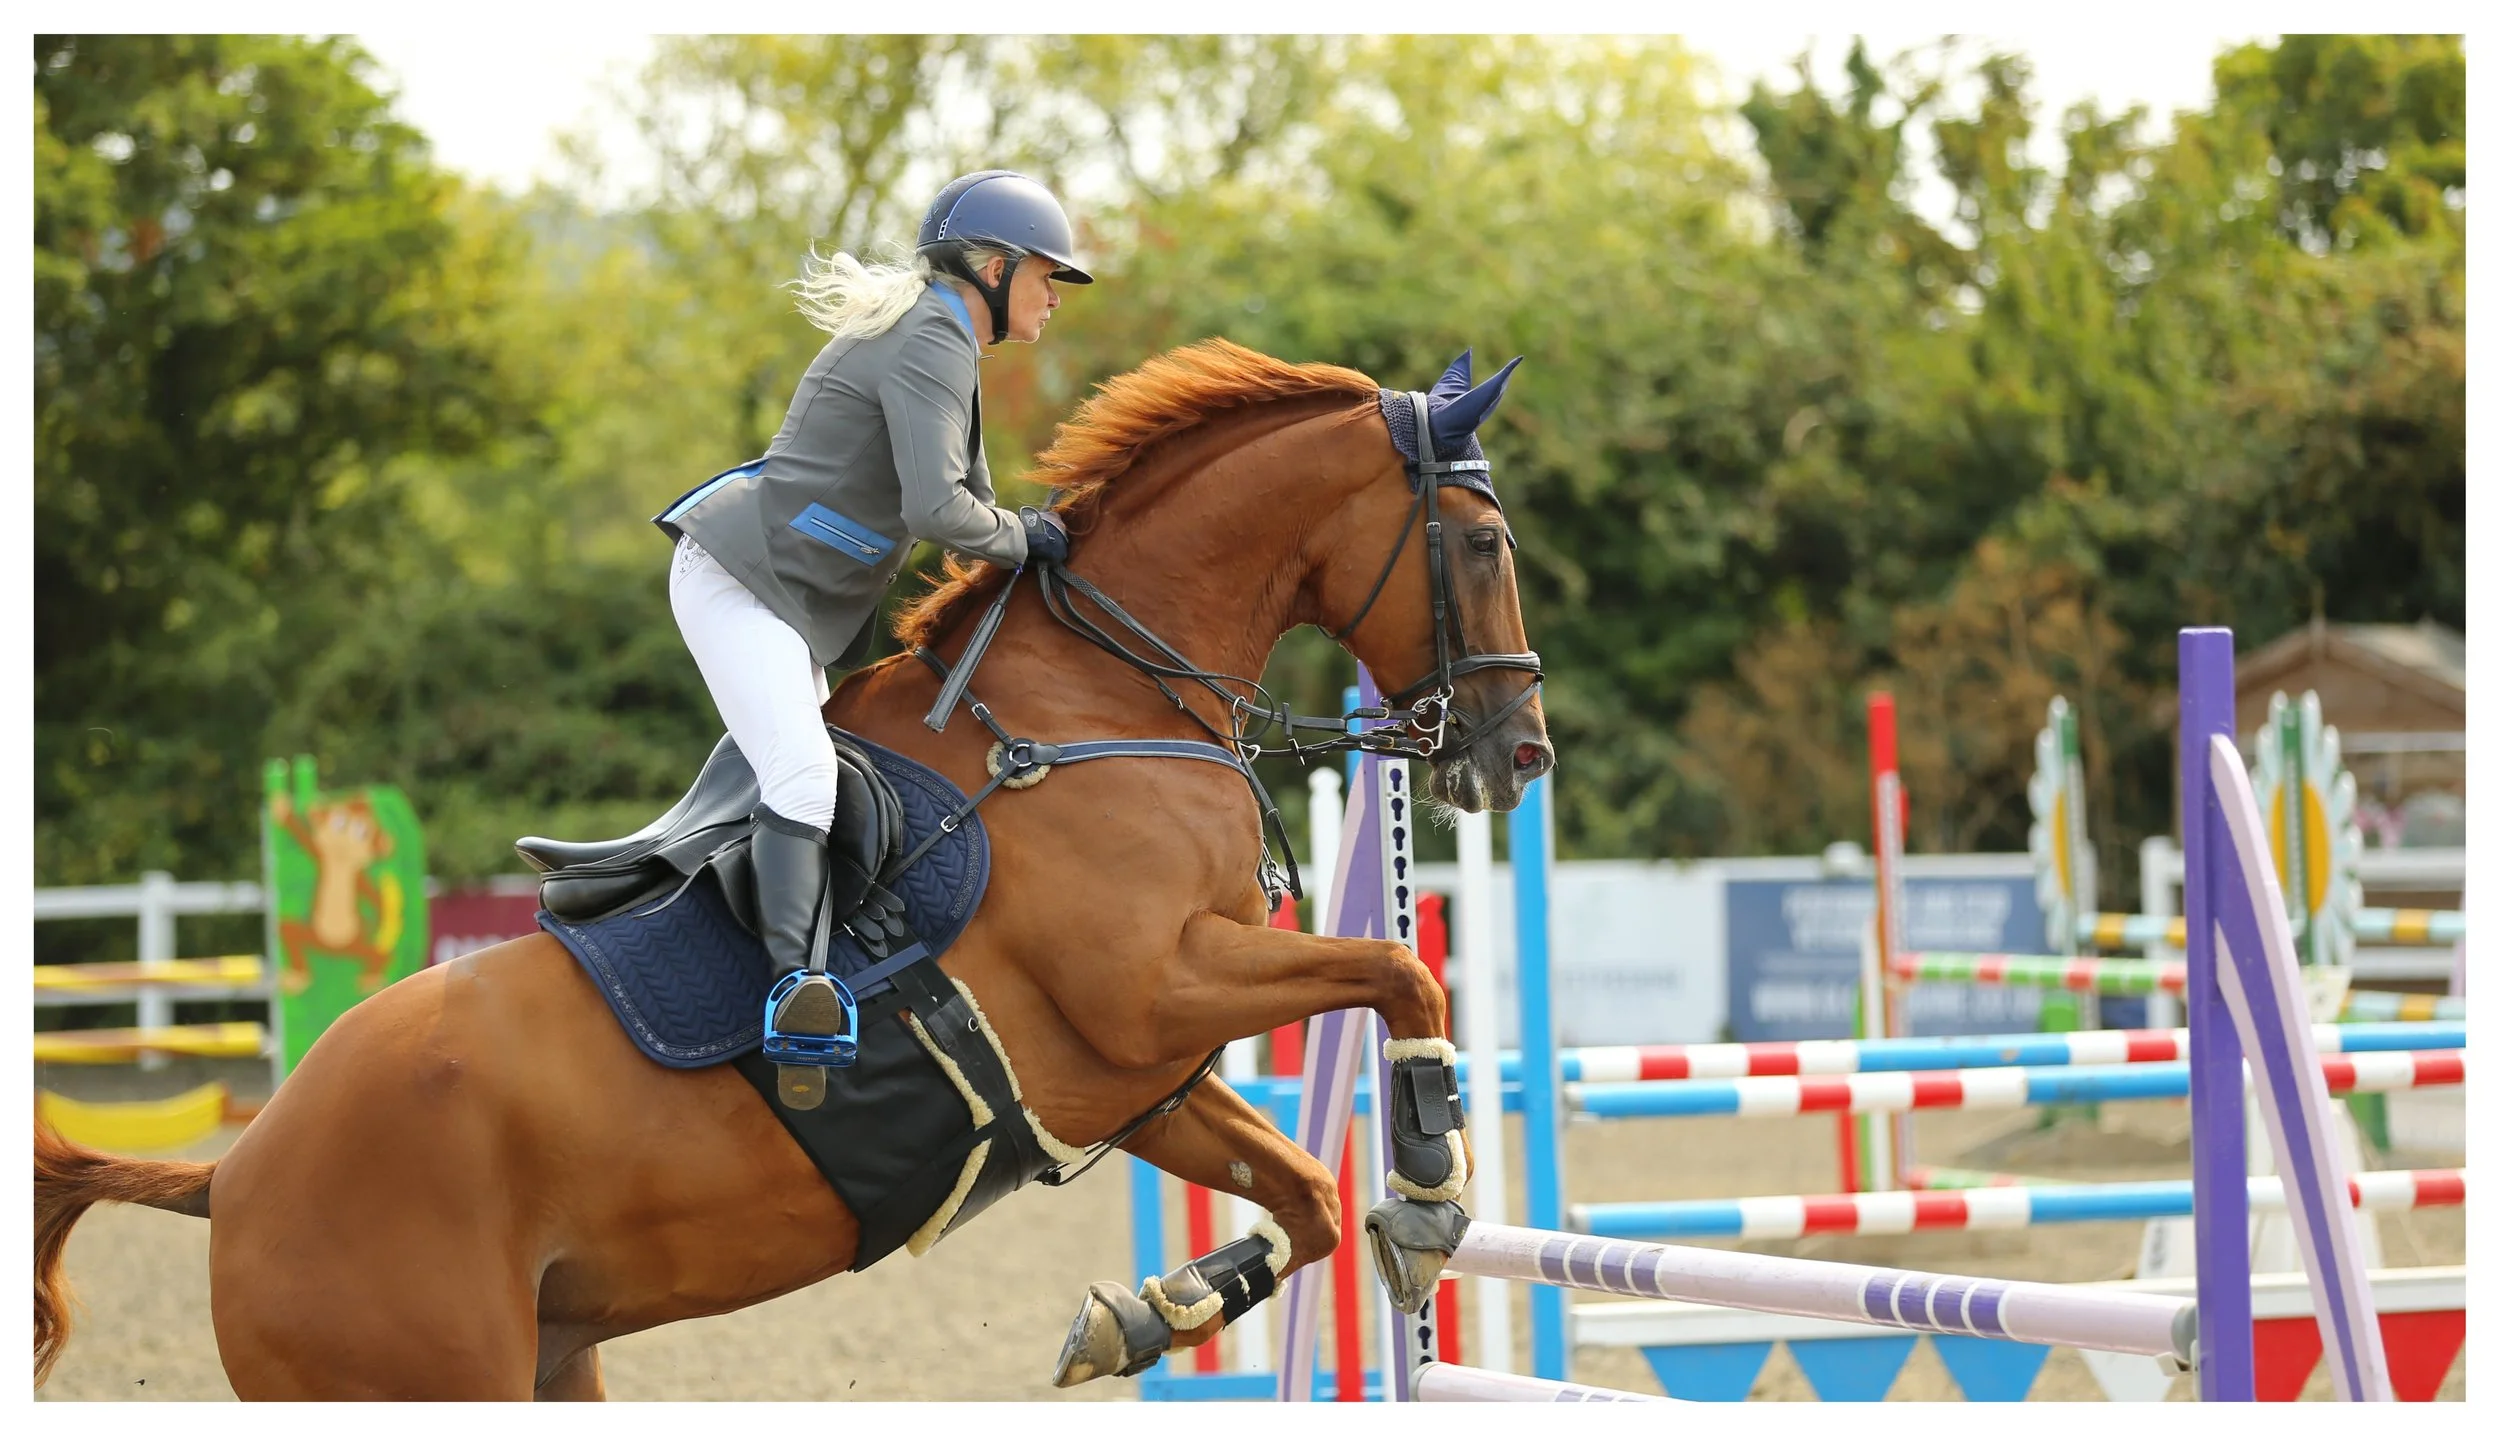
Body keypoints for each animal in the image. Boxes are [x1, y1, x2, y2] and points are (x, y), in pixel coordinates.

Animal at [34, 338, 1552, 1399]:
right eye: (1484, 544)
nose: (1517, 753)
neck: (1099, 701)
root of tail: (236, 1175)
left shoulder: (1134, 1075)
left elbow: (1304, 1192)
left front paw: (1146, 1313)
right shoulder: (1156, 990)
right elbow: (1400, 972)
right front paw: (1431, 1179)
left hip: (550, 1358)